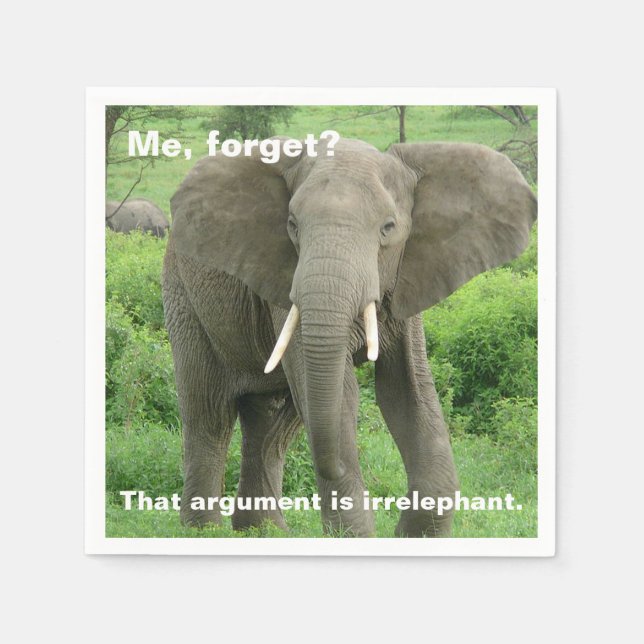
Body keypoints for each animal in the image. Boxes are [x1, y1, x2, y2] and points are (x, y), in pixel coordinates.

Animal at [162, 137, 537, 537]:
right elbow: (341, 392)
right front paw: (354, 534)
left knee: (271, 421)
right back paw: (203, 531)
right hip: (183, 295)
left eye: (388, 227)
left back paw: (262, 530)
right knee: (209, 412)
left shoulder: (406, 279)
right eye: (292, 225)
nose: (338, 466)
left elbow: (408, 390)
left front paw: (415, 534)